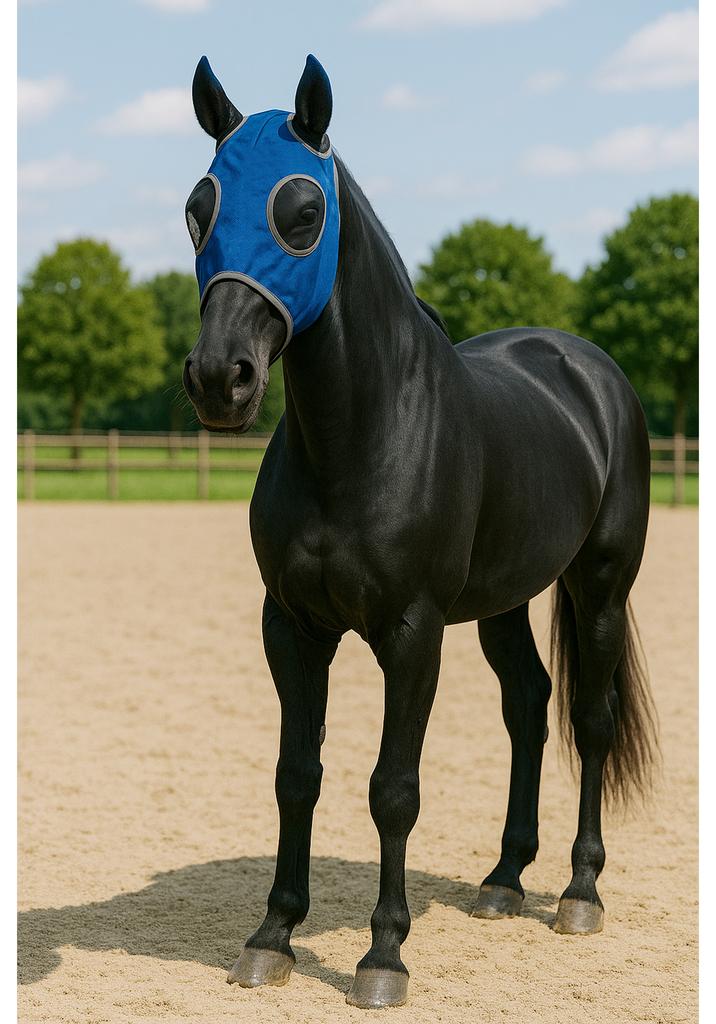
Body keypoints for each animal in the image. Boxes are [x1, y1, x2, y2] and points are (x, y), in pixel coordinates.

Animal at [182, 54, 658, 1009]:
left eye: (302, 211)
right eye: (198, 206)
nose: (221, 378)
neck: (363, 436)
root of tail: (589, 370)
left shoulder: (413, 632)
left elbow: (392, 789)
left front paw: (382, 957)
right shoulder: (292, 627)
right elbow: (297, 775)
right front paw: (272, 937)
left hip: (599, 586)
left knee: (589, 719)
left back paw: (579, 893)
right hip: (505, 602)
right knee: (529, 705)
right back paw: (505, 879)